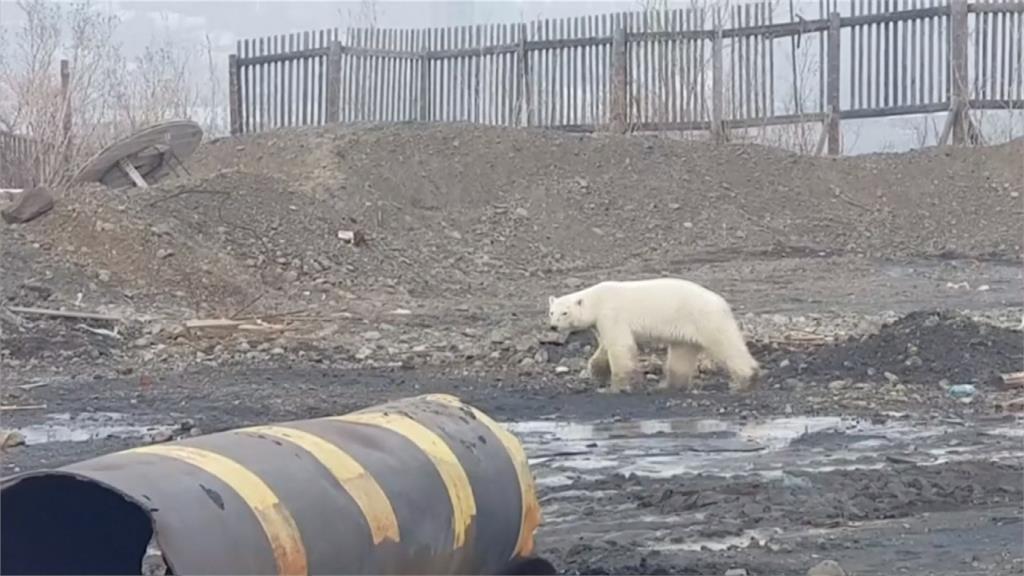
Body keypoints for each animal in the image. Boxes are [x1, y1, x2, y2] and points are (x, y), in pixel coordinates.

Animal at [548, 276, 757, 391]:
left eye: (564, 313)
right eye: (551, 312)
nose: (553, 327)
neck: (597, 300)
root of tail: (722, 302)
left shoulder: (611, 313)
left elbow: (620, 346)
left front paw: (617, 385)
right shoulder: (601, 322)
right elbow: (606, 345)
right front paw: (598, 372)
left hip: (706, 319)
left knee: (727, 344)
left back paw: (745, 378)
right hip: (687, 327)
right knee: (682, 353)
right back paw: (669, 386)